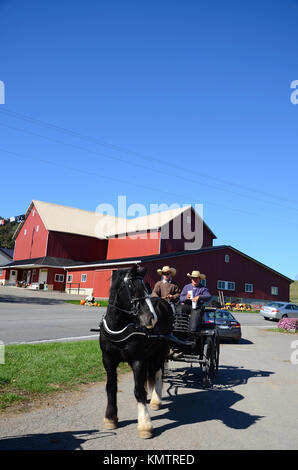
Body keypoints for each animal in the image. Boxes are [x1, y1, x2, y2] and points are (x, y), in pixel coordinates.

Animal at [99, 266, 173, 438]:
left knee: (158, 373)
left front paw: (145, 425)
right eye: (132, 288)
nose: (152, 318)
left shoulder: (137, 360)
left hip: (160, 351)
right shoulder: (108, 360)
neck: (118, 328)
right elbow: (111, 387)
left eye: (147, 287)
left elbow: (138, 391)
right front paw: (110, 418)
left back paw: (156, 400)